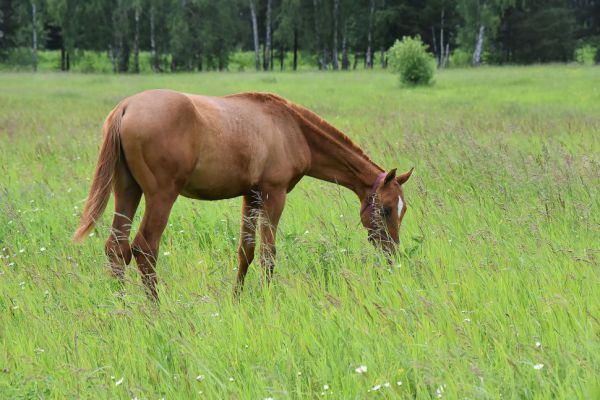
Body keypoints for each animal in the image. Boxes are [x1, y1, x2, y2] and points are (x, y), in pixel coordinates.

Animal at [74, 90, 412, 296]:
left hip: (127, 191)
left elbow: (245, 252)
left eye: (402, 210)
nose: (393, 254)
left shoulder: (251, 196)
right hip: (161, 196)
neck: (291, 128)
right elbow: (268, 254)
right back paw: (155, 310)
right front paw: (268, 299)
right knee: (144, 249)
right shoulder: (274, 195)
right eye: (385, 209)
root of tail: (126, 107)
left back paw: (122, 304)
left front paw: (237, 298)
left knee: (117, 248)